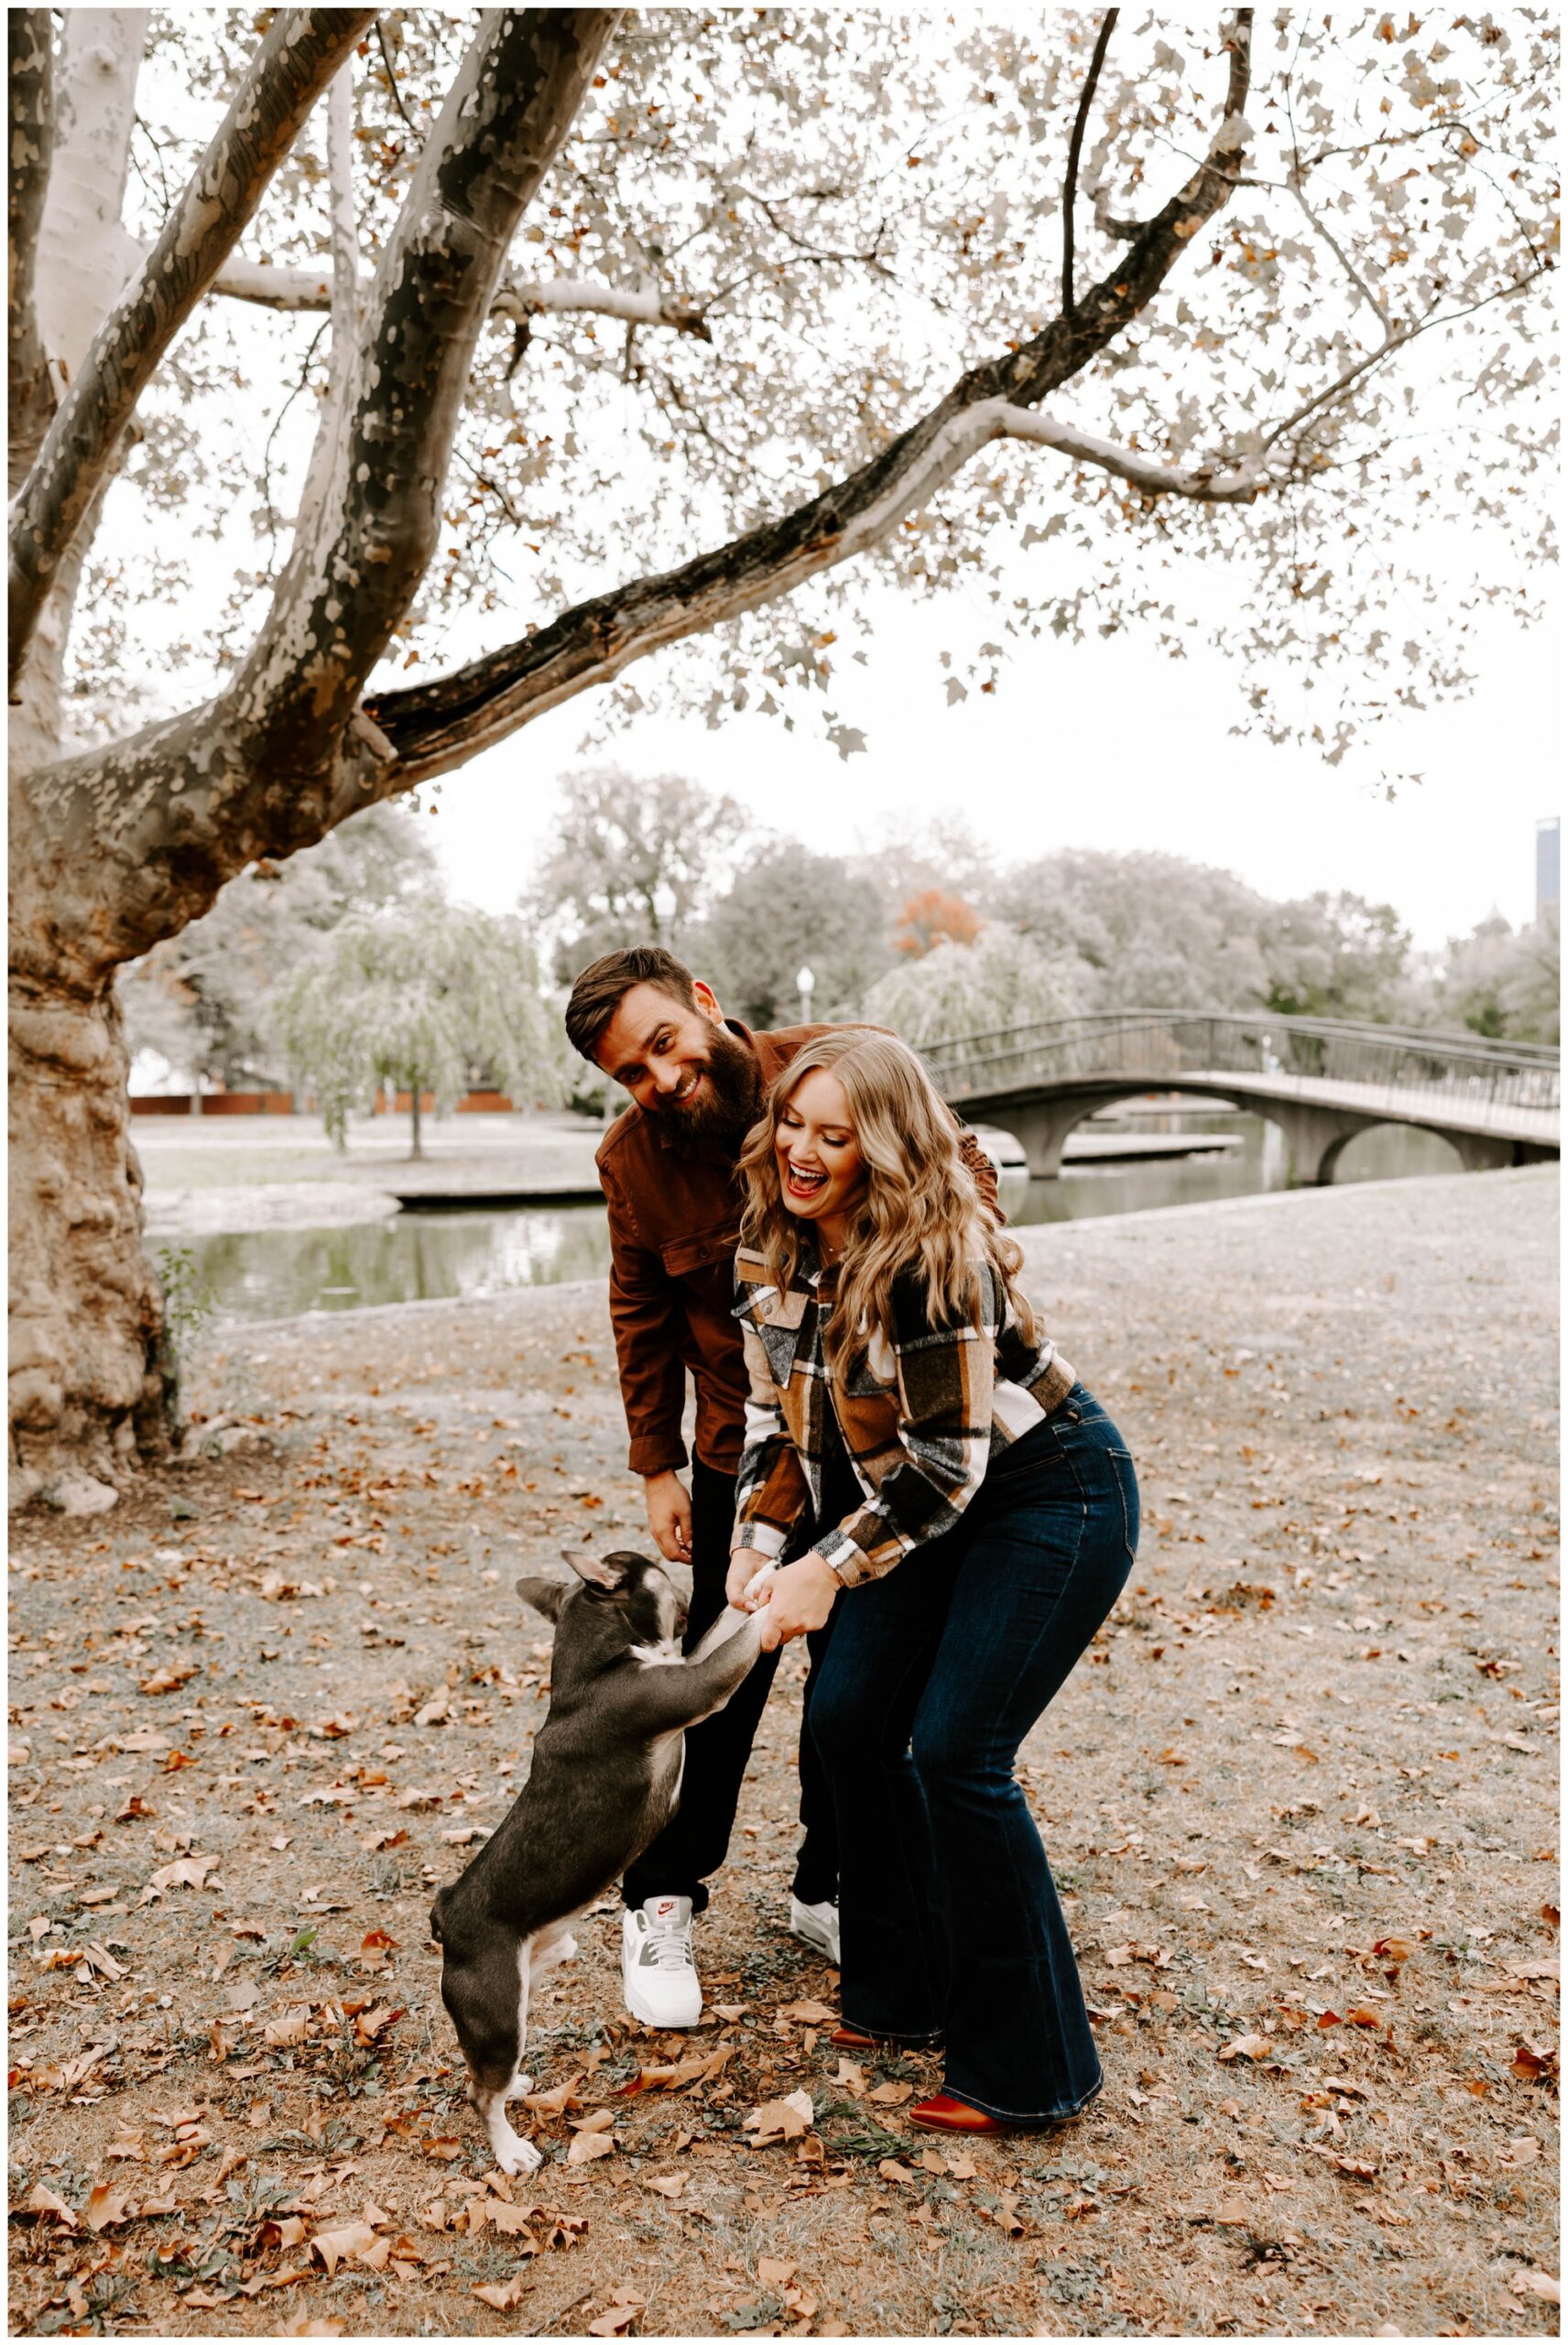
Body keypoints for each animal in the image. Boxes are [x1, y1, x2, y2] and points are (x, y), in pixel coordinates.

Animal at [429, 1547, 764, 2166]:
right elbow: (746, 1637)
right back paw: (510, 2150)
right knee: (481, 2095)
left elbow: (729, 1624)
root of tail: (446, 1916)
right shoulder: (698, 1685)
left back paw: (516, 2088)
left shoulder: (685, 1665)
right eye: (662, 1571)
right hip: (497, 2014)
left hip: (525, 1989)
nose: (689, 1581)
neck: (593, 1665)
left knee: (486, 2076)